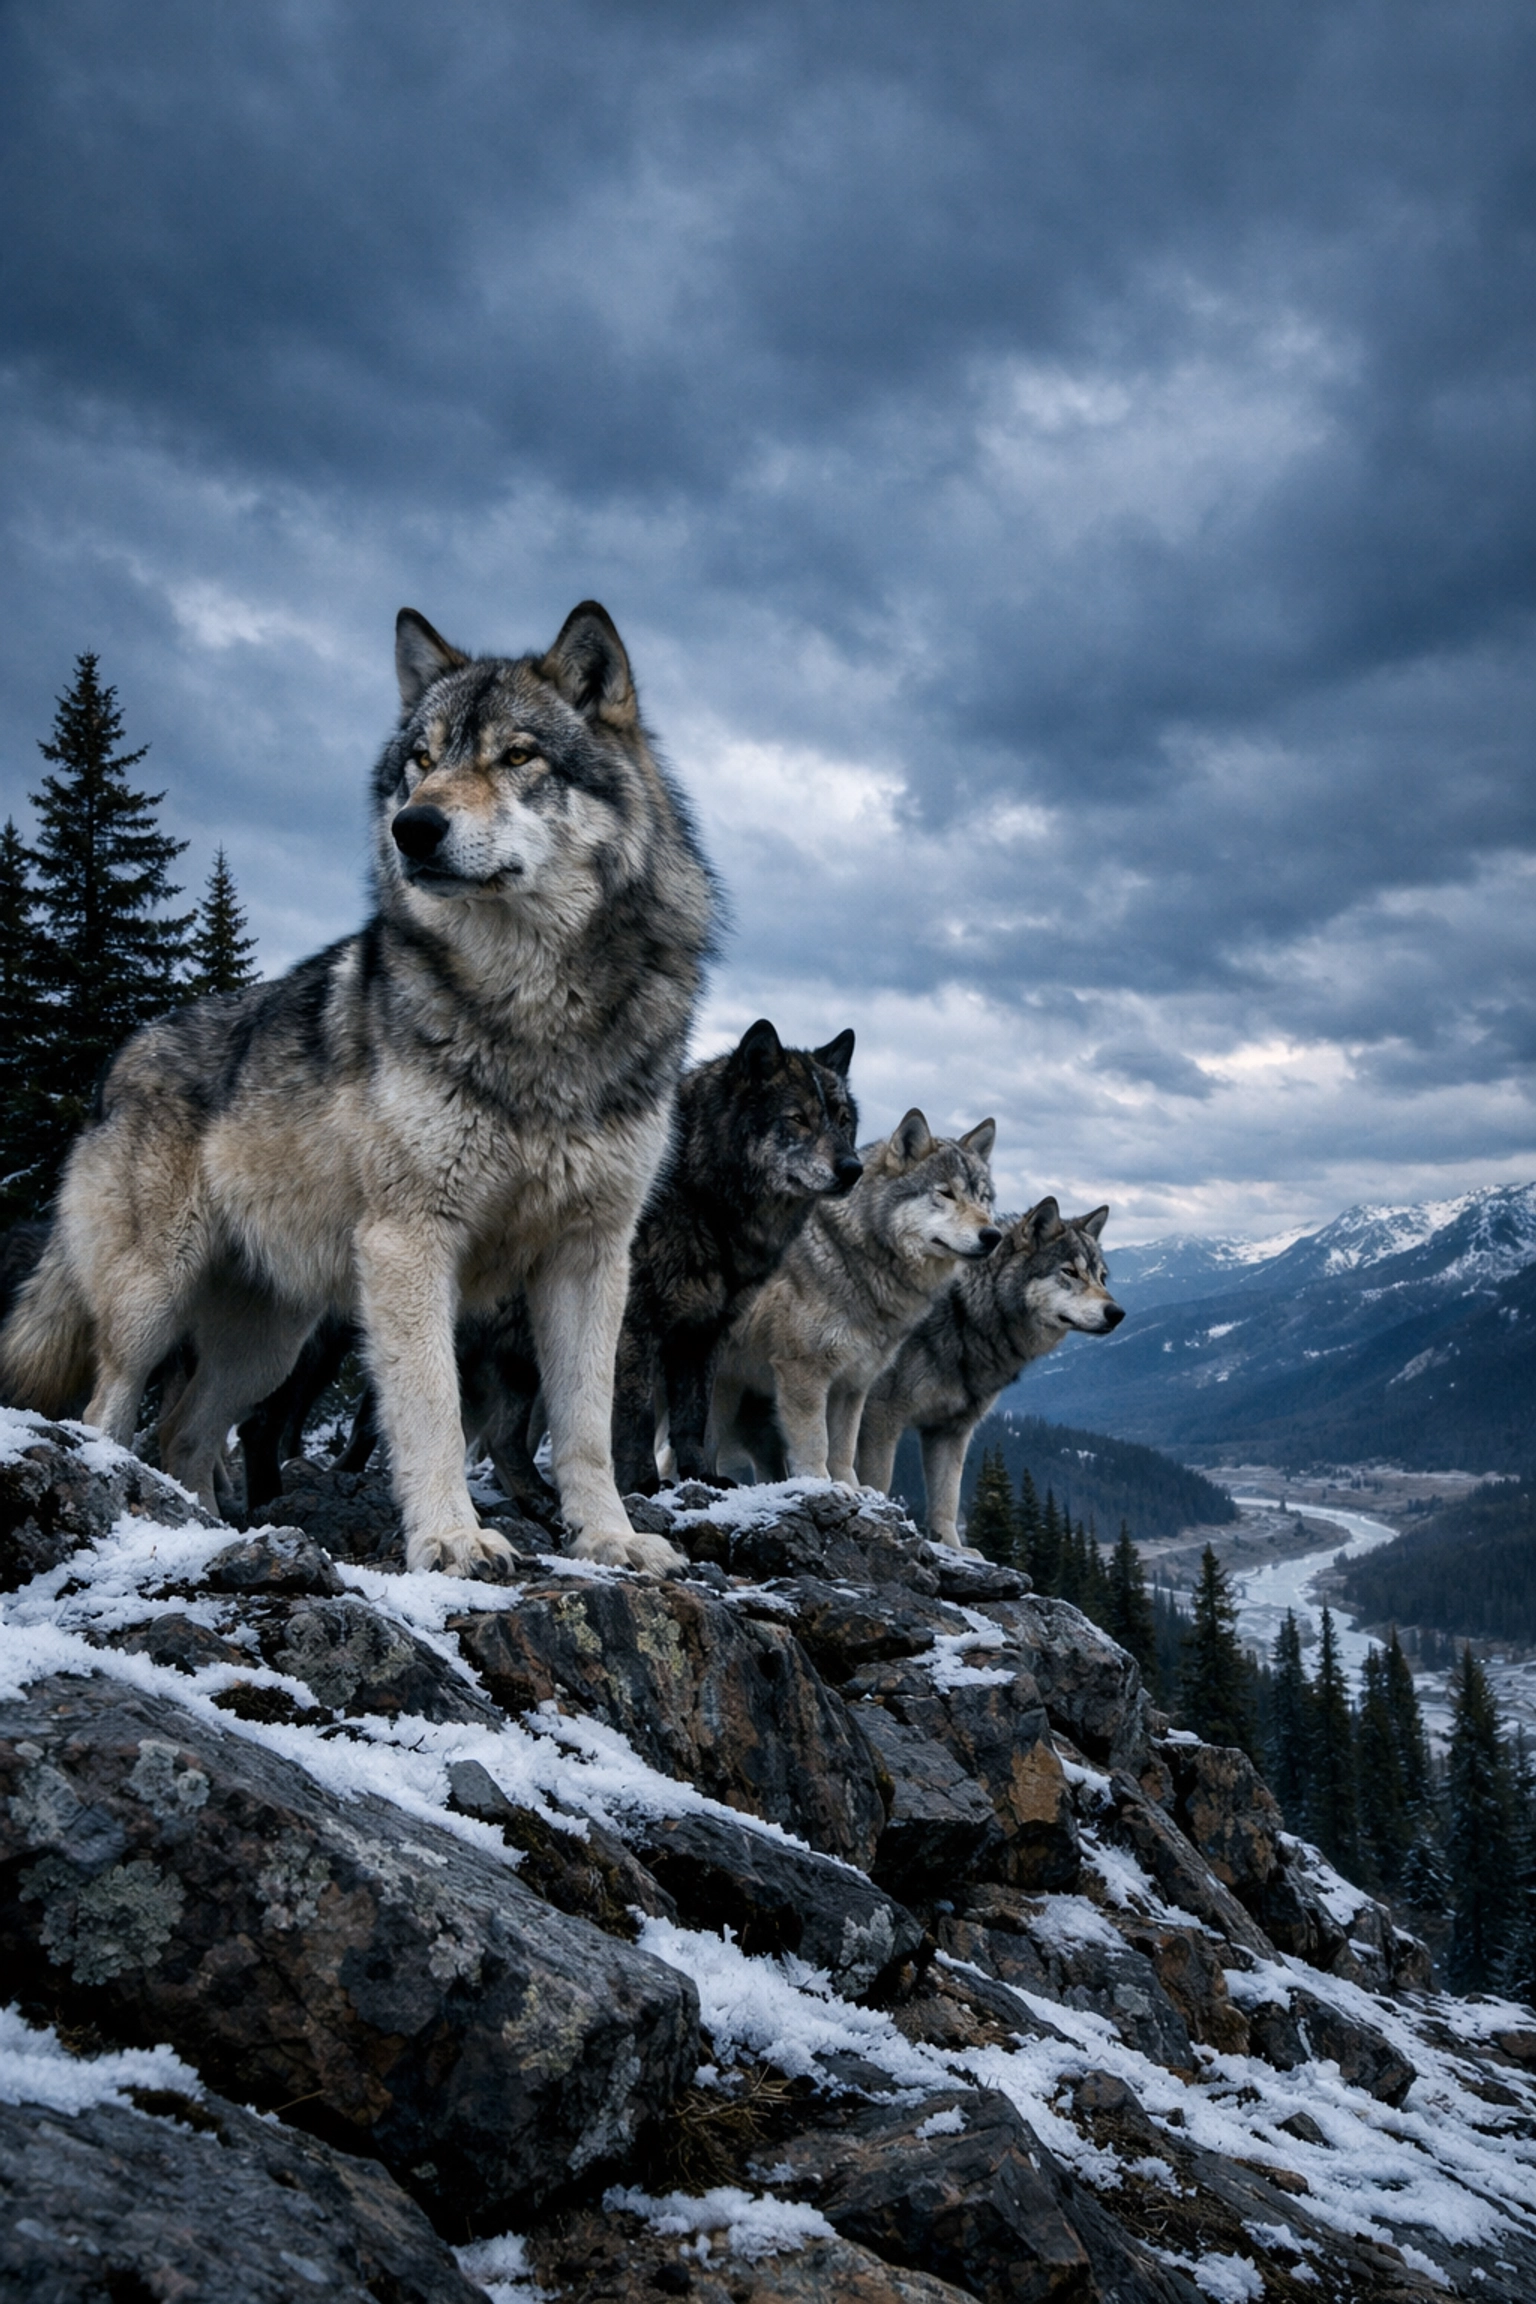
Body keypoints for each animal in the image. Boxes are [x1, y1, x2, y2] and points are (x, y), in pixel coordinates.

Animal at [0, 603, 716, 1576]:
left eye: (517, 755)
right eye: (421, 758)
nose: (415, 826)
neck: (535, 1011)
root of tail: (120, 1060)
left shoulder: (591, 1255)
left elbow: (585, 1426)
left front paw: (611, 1538)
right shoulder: (410, 1243)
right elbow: (434, 1409)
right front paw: (452, 1539)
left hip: (268, 1341)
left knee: (186, 1430)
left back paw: (212, 1534)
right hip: (154, 1299)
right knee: (110, 1411)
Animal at [710, 1111, 999, 1487]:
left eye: (983, 1198)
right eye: (946, 1194)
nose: (993, 1235)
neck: (850, 1253)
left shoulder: (854, 1383)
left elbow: (843, 1450)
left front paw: (850, 1489)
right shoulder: (803, 1371)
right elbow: (815, 1444)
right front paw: (819, 1485)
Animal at [855, 1199, 1124, 1546]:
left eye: (1101, 1277)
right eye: (1069, 1272)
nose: (1117, 1313)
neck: (964, 1311)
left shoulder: (951, 1430)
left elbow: (947, 1499)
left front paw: (953, 1547)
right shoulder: (881, 1414)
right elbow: (879, 1480)